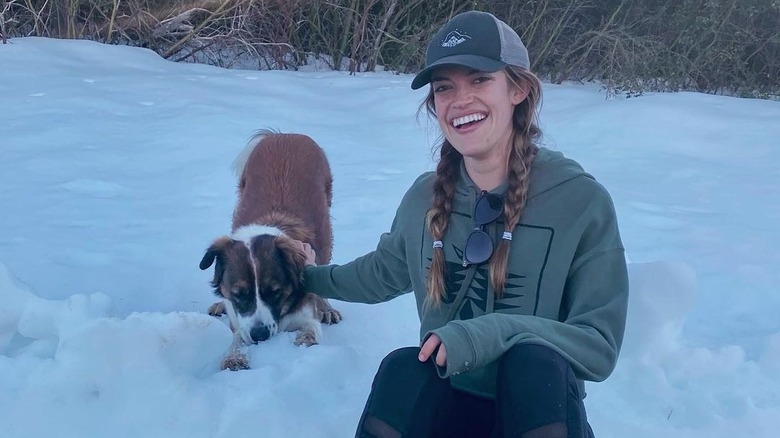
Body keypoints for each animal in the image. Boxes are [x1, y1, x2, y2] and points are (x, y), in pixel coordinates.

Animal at [200, 129, 340, 370]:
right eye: (239, 294)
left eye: (274, 291)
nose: (260, 335)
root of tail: (285, 135)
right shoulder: (239, 320)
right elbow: (237, 338)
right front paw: (234, 357)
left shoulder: (306, 314)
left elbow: (309, 331)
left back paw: (327, 307)